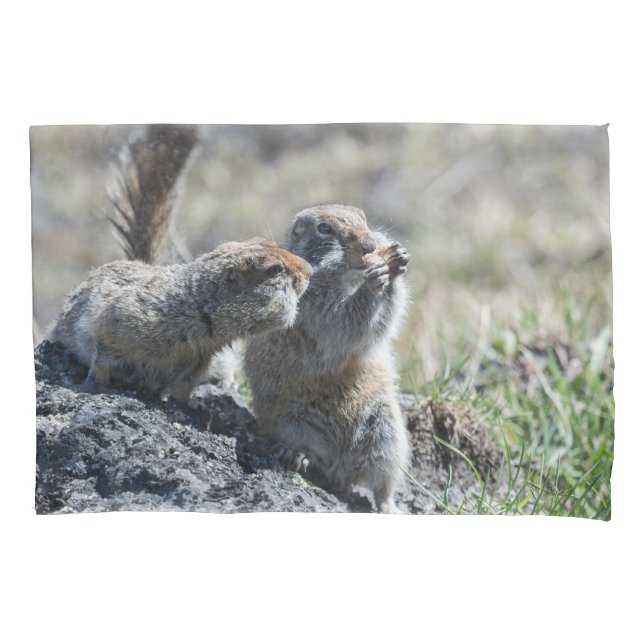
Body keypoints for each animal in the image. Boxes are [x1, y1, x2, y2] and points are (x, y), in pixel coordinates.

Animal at [48, 125, 312, 401]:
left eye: (268, 241)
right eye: (275, 269)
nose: (309, 269)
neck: (194, 310)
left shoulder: (199, 360)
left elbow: (185, 386)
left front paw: (184, 404)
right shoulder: (117, 319)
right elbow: (104, 352)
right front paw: (96, 382)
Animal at [243, 204, 411, 513]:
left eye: (364, 217)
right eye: (324, 228)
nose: (370, 244)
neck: (346, 276)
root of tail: (340, 469)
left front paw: (397, 261)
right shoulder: (314, 305)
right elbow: (344, 323)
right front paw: (376, 280)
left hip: (388, 433)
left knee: (381, 483)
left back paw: (389, 507)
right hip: (293, 422)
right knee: (314, 455)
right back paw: (297, 454)